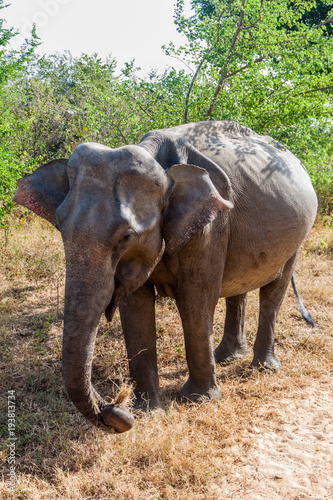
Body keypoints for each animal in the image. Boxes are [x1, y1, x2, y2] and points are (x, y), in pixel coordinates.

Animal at [13, 119, 316, 432]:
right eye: (60, 226)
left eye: (127, 236)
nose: (114, 407)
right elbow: (135, 308)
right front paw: (145, 409)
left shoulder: (210, 228)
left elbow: (195, 302)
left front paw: (198, 400)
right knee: (238, 290)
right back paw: (227, 357)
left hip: (298, 236)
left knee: (274, 292)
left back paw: (262, 367)